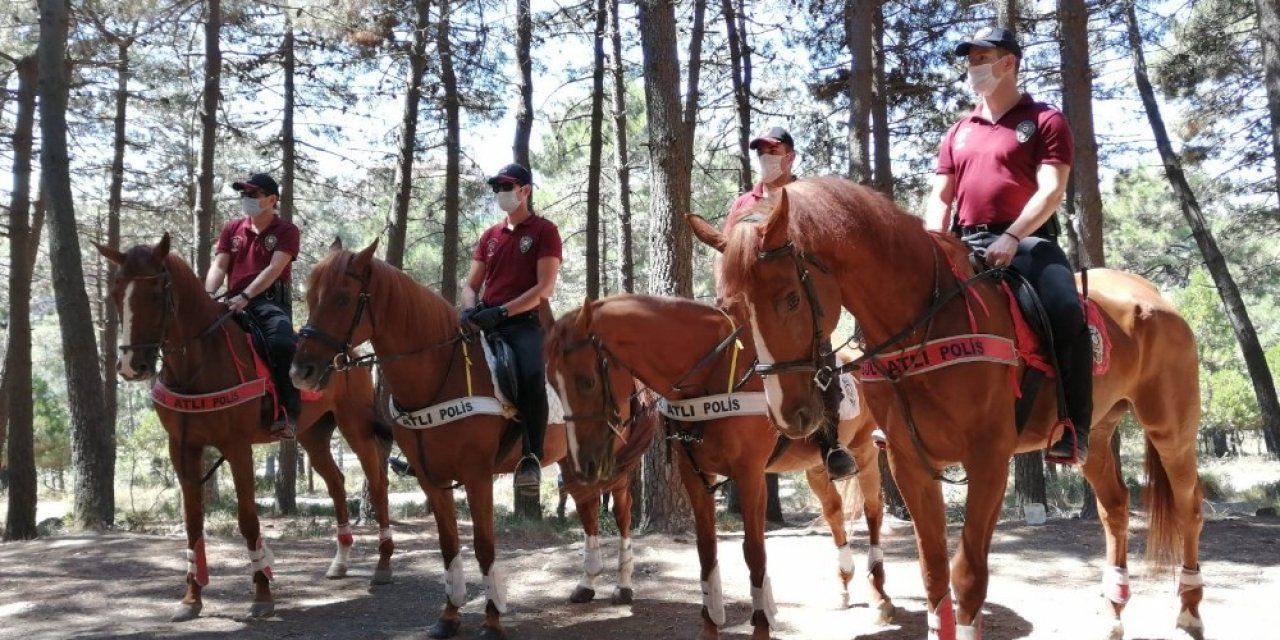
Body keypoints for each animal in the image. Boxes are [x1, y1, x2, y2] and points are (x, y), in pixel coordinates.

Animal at [99, 234, 391, 619]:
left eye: (156, 294)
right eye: (116, 293)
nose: (132, 366)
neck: (199, 362)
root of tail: (350, 354)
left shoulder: (236, 446)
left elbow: (248, 518)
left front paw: (262, 594)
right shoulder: (182, 447)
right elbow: (192, 522)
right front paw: (191, 598)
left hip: (355, 426)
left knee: (377, 481)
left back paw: (384, 564)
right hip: (313, 435)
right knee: (337, 483)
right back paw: (340, 562)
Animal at [291, 238, 650, 637]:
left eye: (342, 298)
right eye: (309, 296)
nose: (301, 372)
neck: (437, 377)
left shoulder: (478, 476)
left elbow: (484, 546)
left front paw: (492, 618)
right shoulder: (432, 478)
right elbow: (449, 546)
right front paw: (449, 615)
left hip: (611, 458)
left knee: (620, 511)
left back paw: (623, 585)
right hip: (574, 459)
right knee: (587, 506)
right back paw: (586, 583)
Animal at [545, 294, 896, 640]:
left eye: (587, 381)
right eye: (551, 384)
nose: (583, 465)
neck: (711, 376)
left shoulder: (749, 475)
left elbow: (754, 552)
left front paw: (762, 626)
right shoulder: (695, 474)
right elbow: (706, 551)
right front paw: (710, 625)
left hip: (865, 451)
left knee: (873, 510)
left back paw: (880, 596)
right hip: (816, 468)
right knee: (834, 511)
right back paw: (844, 583)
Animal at [686, 177, 1203, 640]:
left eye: (791, 299)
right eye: (730, 308)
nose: (787, 412)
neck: (926, 324)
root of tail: (1155, 298)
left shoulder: (989, 459)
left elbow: (967, 575)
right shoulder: (908, 461)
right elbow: (934, 572)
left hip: (1171, 428)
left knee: (1189, 506)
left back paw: (1190, 611)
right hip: (1094, 434)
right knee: (1114, 507)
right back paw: (1115, 610)